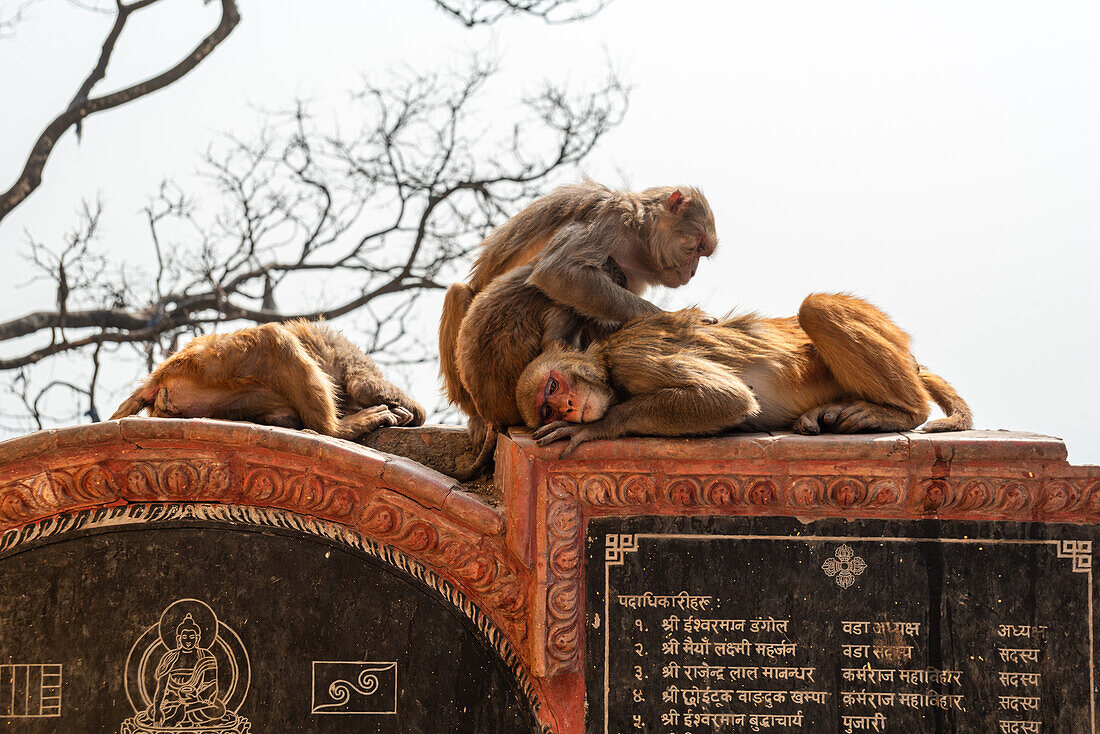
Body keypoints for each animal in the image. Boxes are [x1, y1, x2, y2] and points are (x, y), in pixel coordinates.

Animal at [109, 319, 422, 440]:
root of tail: (157, 377)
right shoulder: (354, 360)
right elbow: (362, 385)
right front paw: (414, 412)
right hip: (214, 361)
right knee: (275, 338)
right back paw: (337, 429)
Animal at [437, 180, 721, 444]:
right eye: (698, 247)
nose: (692, 272)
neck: (638, 239)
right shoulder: (611, 220)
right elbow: (559, 271)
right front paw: (677, 318)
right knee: (458, 292)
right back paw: (477, 420)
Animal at [514, 290, 972, 453]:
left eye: (554, 385)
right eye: (547, 408)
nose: (568, 406)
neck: (608, 370)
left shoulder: (633, 358)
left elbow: (727, 397)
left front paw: (596, 428)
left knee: (817, 308)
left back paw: (901, 411)